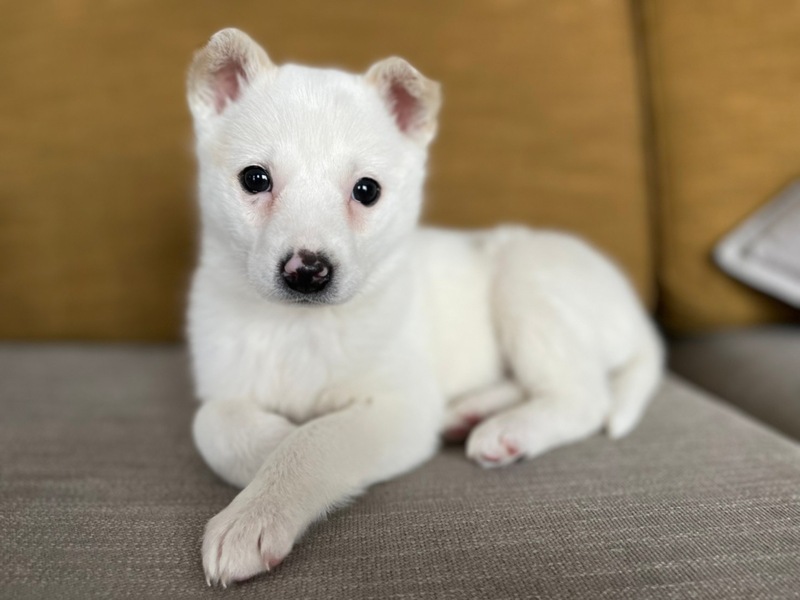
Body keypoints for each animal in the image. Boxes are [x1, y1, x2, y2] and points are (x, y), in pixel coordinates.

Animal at [186, 28, 664, 586]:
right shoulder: (225, 386)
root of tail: (636, 313)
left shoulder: (400, 406)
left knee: (584, 397)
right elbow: (214, 425)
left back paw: (509, 430)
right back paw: (469, 412)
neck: (298, 328)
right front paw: (271, 448)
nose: (308, 272)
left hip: (524, 282)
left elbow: (316, 441)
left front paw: (257, 510)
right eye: (255, 179)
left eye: (366, 190)